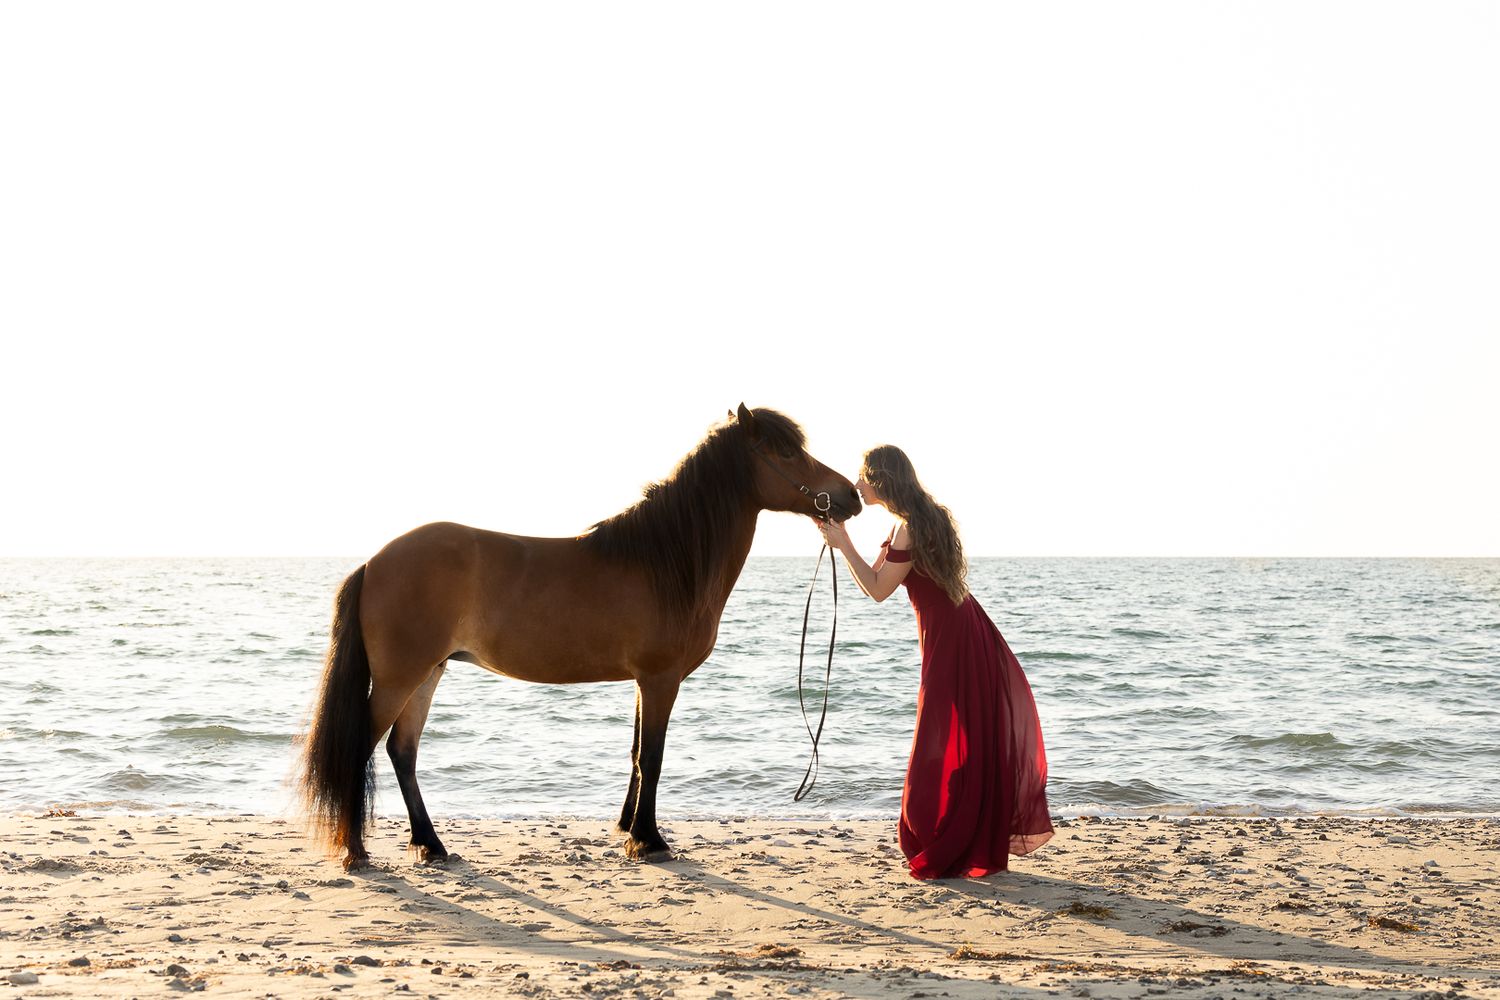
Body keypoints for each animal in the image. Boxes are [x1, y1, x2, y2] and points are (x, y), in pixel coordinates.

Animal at [299, 404, 861, 870]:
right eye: (786, 451)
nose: (850, 496)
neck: (666, 562)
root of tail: (374, 562)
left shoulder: (644, 681)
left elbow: (636, 755)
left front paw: (629, 830)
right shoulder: (661, 679)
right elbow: (652, 758)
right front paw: (650, 841)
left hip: (428, 672)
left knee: (403, 751)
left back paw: (431, 845)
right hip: (401, 677)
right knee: (361, 748)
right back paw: (356, 851)